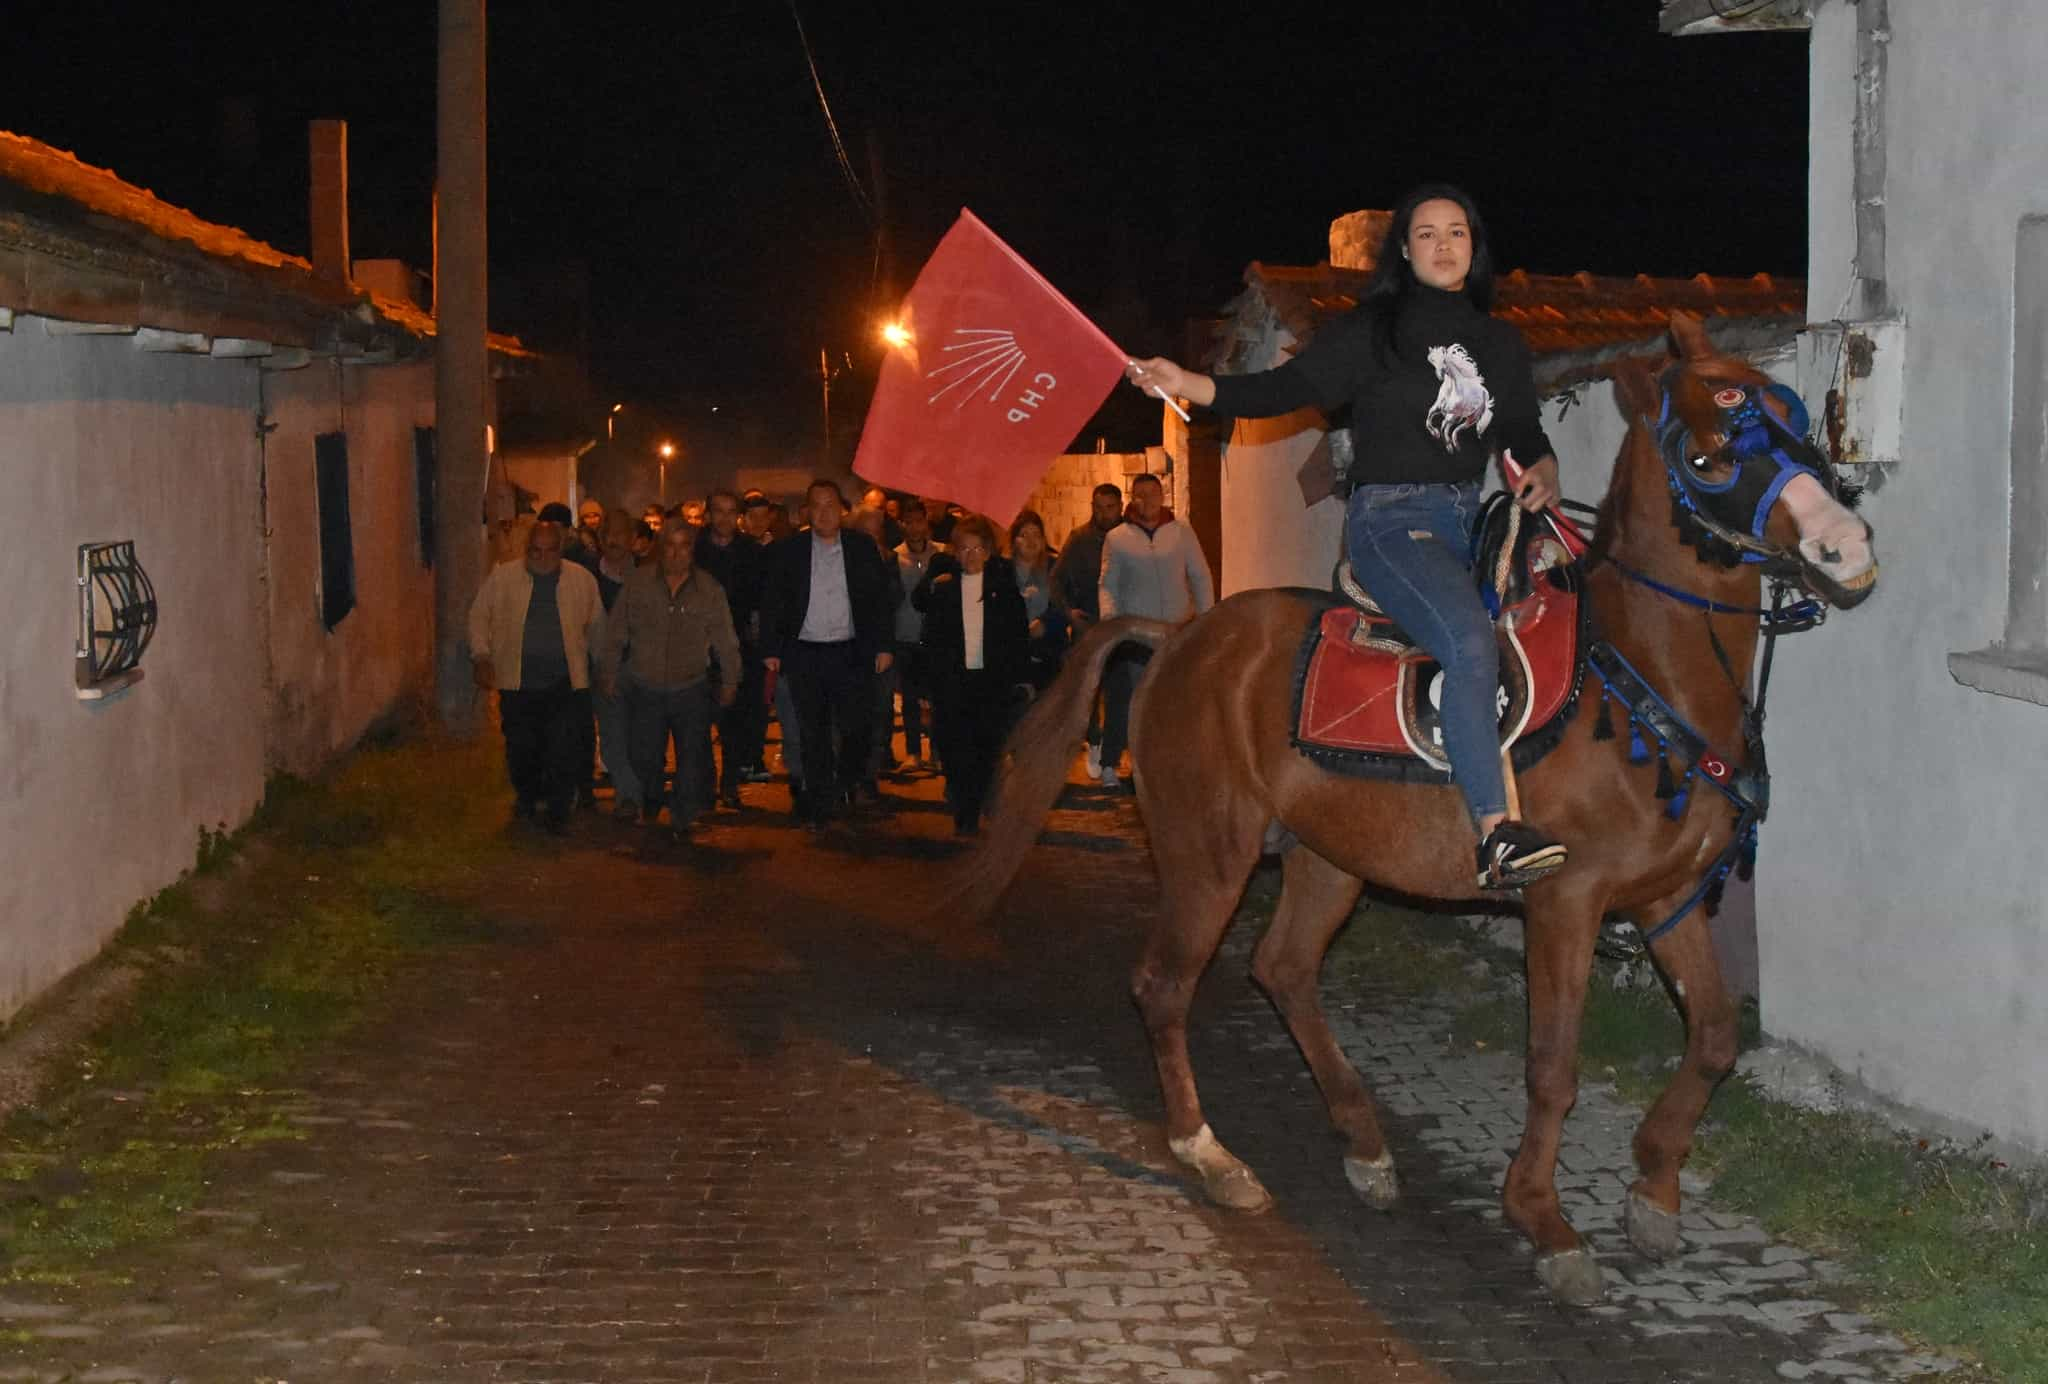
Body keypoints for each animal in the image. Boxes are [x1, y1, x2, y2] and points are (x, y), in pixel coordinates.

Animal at [942, 311, 1875, 1293]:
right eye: (1706, 456)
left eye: (1797, 421)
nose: (1847, 545)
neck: (1638, 680)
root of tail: (1178, 637)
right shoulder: (1565, 903)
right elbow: (1553, 1066)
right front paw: (1544, 1221)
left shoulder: (1667, 897)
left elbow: (1715, 1038)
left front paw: (1654, 1189)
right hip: (1209, 855)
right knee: (1165, 986)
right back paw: (1212, 1157)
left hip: (1327, 857)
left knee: (1282, 969)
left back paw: (1363, 1141)